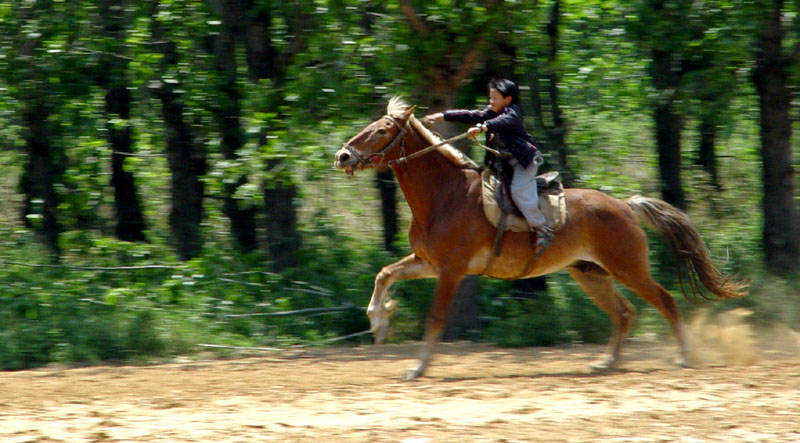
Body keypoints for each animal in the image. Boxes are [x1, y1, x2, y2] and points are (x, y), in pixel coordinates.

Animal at [334, 99, 748, 380]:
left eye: (381, 130)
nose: (342, 156)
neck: (444, 195)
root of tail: (626, 205)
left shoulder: (451, 270)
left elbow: (435, 317)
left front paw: (417, 367)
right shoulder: (427, 262)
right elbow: (385, 274)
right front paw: (379, 323)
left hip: (627, 268)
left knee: (663, 301)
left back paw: (683, 356)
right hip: (590, 273)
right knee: (624, 313)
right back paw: (607, 361)